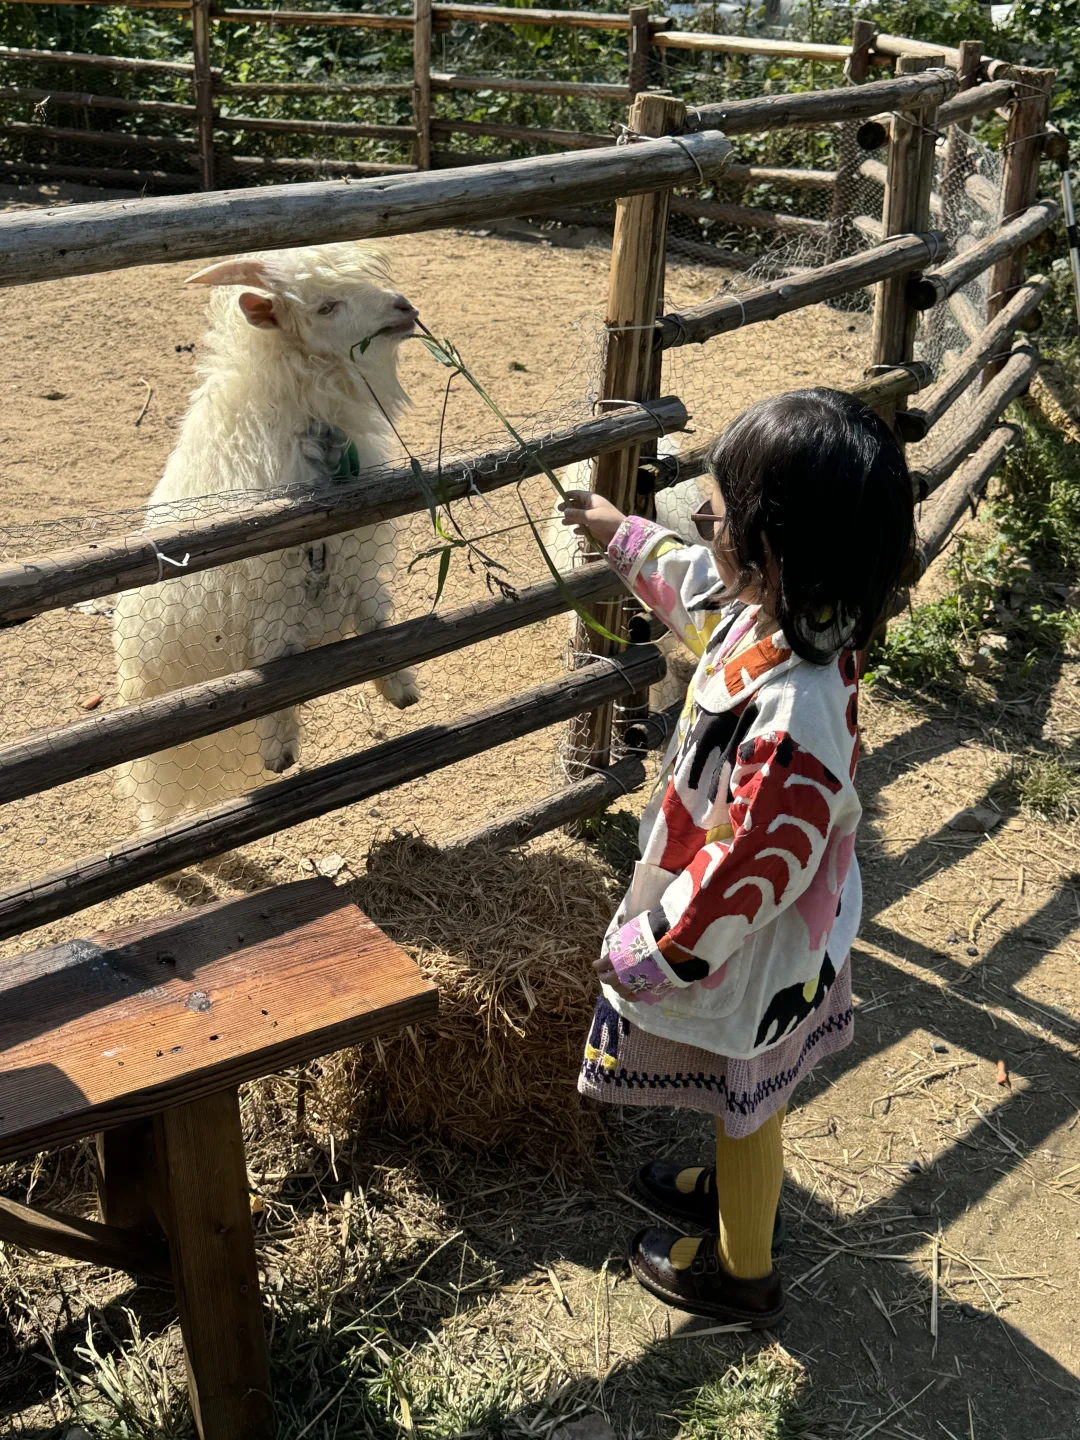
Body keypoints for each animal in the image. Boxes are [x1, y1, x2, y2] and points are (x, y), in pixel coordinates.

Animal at [113, 241, 421, 831]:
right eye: (325, 306)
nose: (404, 308)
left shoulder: (356, 554)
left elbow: (375, 617)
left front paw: (401, 689)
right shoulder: (268, 590)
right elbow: (277, 669)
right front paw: (280, 752)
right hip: (160, 755)